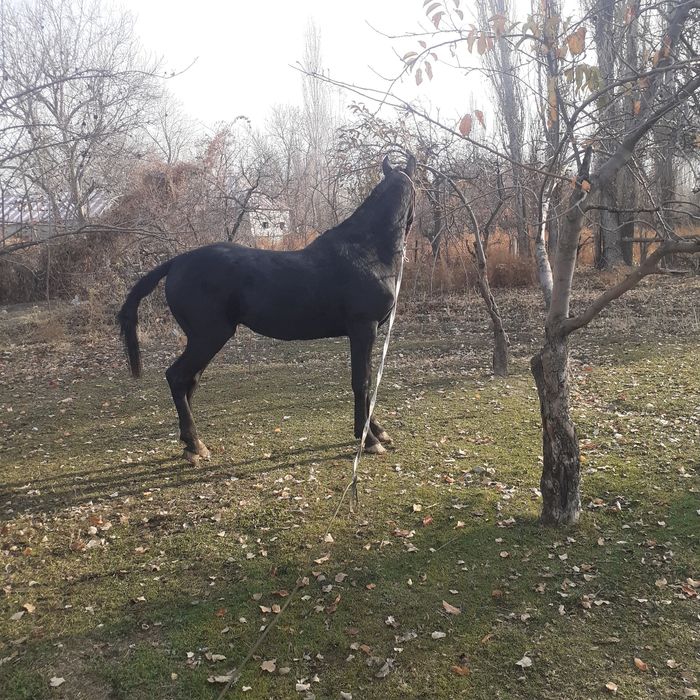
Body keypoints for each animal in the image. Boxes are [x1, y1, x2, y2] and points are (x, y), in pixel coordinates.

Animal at [118, 155, 416, 463]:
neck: (367, 252)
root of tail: (177, 262)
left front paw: (377, 431)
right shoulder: (363, 329)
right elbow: (363, 381)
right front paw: (369, 439)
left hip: (203, 340)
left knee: (190, 381)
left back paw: (190, 444)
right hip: (208, 337)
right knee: (177, 378)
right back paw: (196, 444)